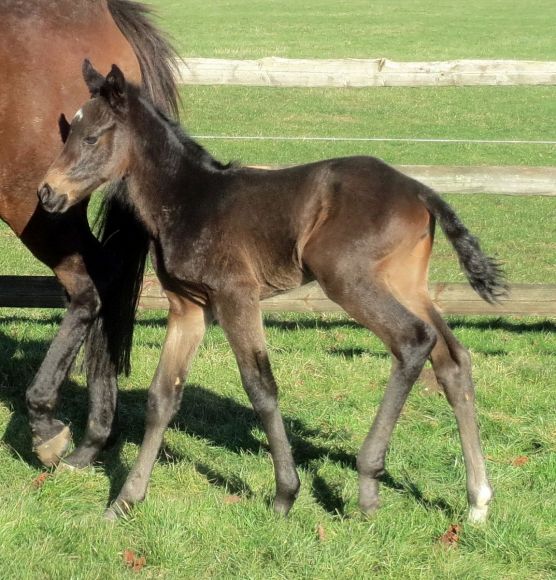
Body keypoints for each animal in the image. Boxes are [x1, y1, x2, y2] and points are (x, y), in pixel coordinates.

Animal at [39, 62, 506, 520]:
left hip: (347, 278)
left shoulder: (236, 296)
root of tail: (420, 190)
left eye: (92, 136)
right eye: (67, 134)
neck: (189, 200)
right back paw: (478, 500)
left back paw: (368, 485)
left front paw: (285, 494)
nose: (47, 193)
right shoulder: (189, 307)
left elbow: (261, 386)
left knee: (414, 341)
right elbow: (162, 397)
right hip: (406, 284)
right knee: (453, 359)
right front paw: (124, 501)